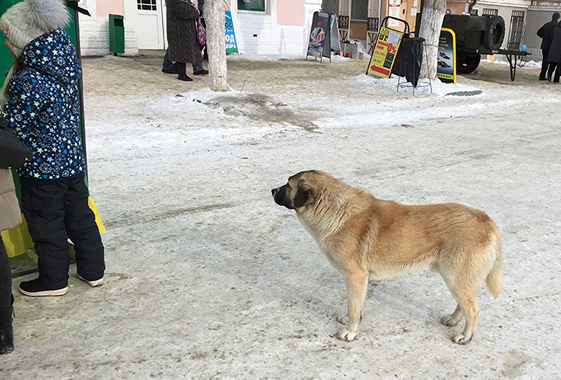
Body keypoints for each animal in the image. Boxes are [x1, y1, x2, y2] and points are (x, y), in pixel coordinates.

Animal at [270, 171, 500, 342]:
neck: (334, 211)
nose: (272, 189)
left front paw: (351, 333)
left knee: (473, 309)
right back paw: (453, 320)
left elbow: (353, 308)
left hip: (455, 278)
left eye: (288, 184)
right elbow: (358, 308)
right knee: (465, 304)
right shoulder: (361, 281)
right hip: (457, 278)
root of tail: (488, 220)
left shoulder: (355, 277)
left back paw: (465, 336)